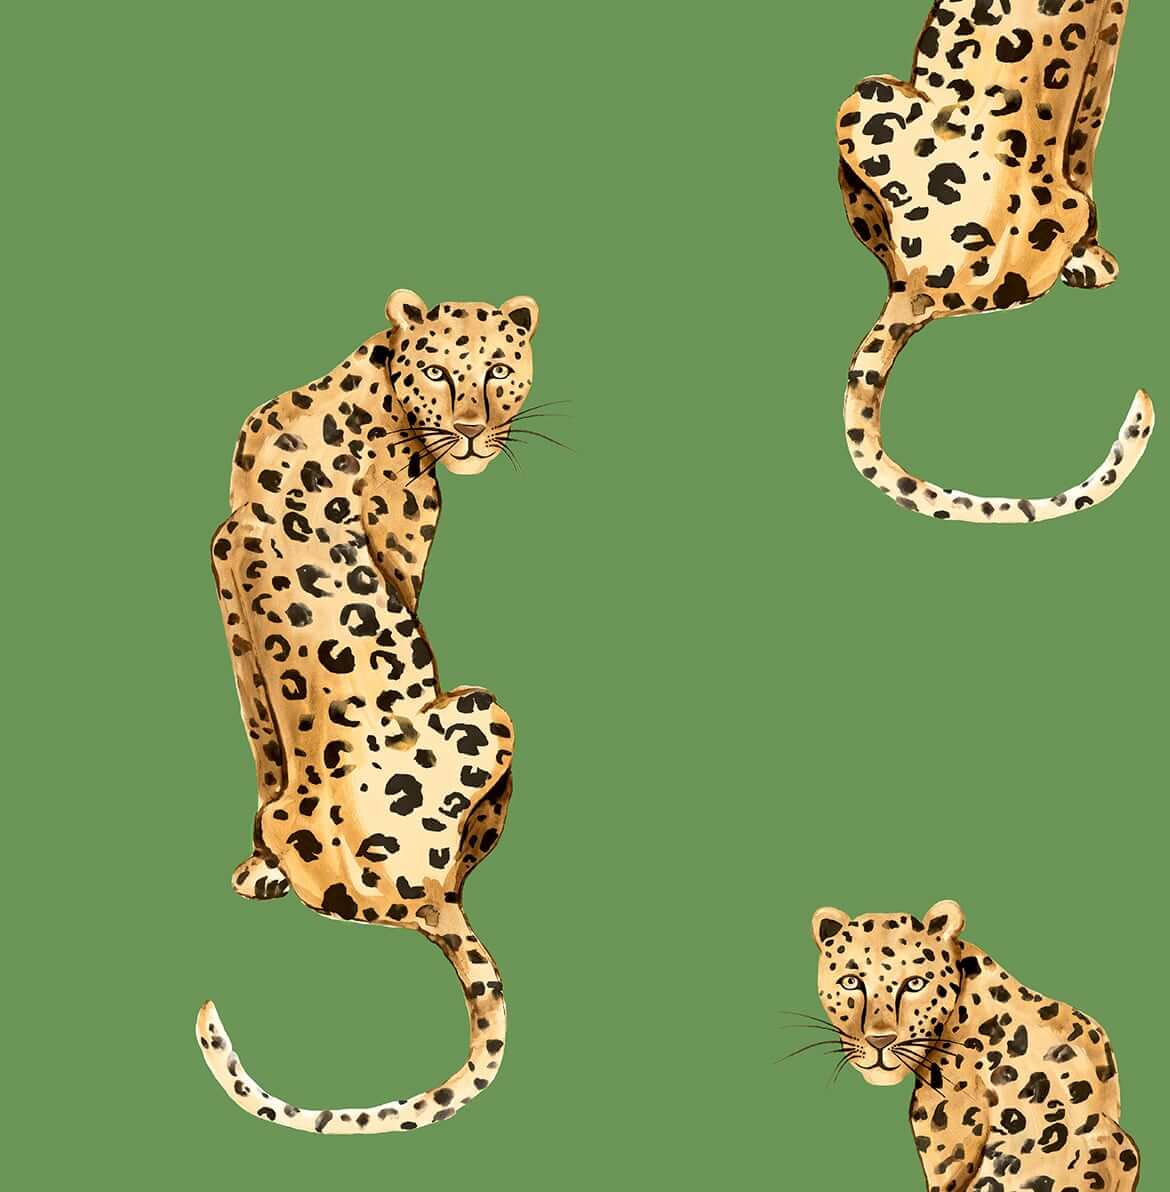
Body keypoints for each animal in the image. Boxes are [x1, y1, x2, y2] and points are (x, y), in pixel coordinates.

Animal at [195, 289, 540, 1133]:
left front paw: (257, 864)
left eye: (499, 368)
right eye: (441, 371)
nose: (475, 429)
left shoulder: (221, 562)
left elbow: (262, 734)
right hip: (493, 707)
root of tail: (429, 902)